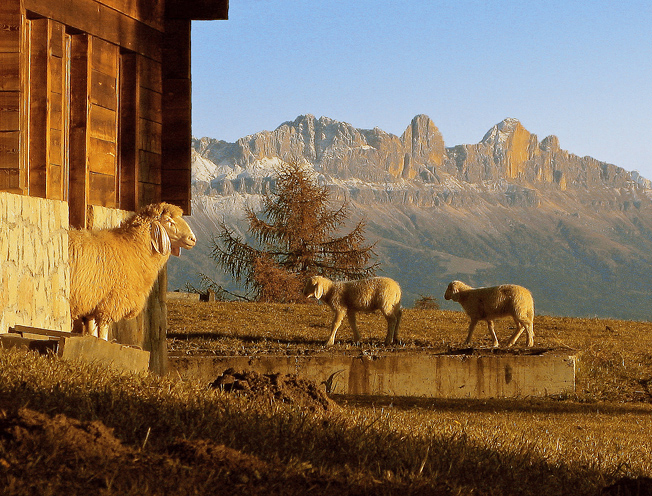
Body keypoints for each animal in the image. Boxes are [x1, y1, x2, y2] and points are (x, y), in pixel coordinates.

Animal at [70, 201, 196, 338]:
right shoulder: (110, 304)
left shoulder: (92, 305)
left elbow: (92, 334)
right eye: (168, 220)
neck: (132, 246)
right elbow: (103, 335)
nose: (192, 239)